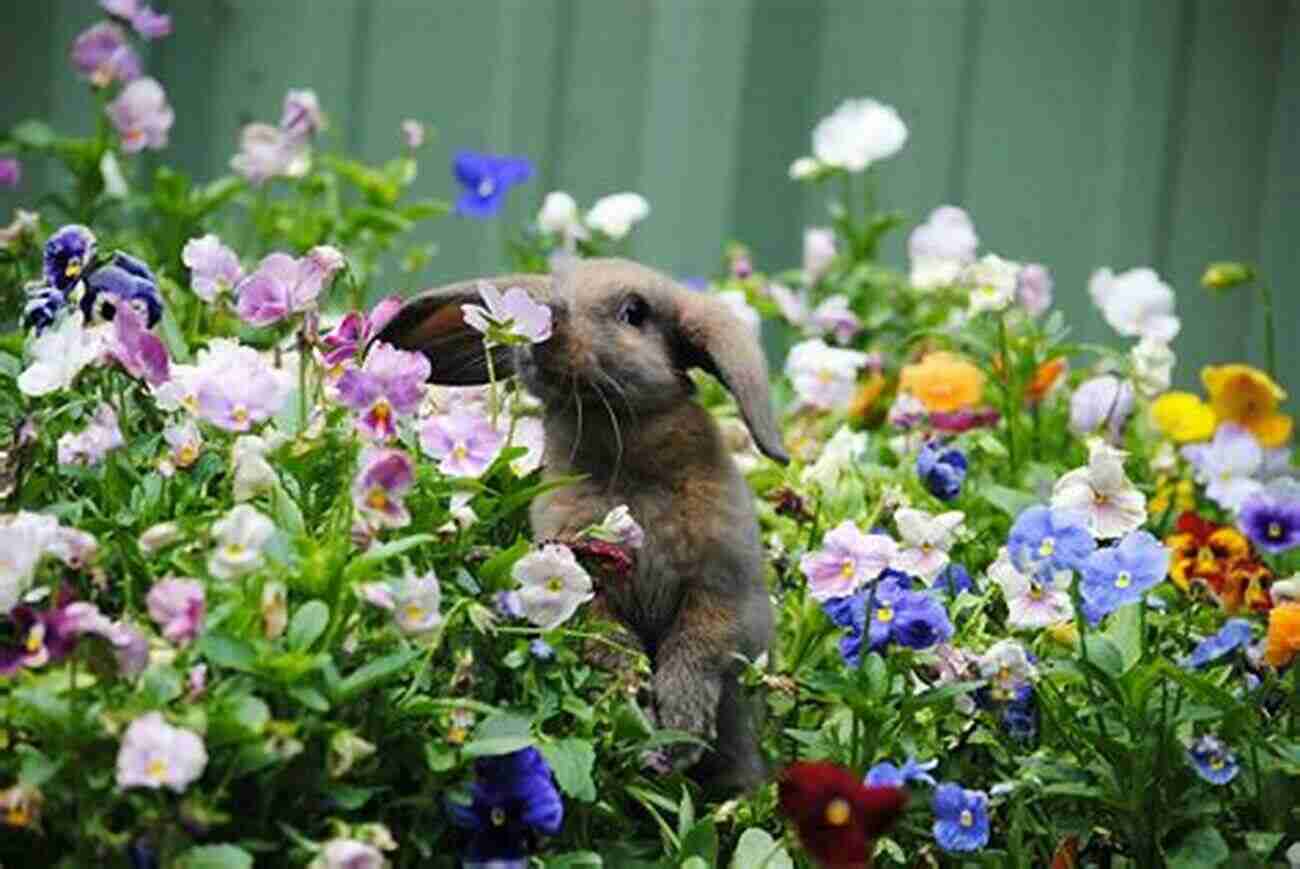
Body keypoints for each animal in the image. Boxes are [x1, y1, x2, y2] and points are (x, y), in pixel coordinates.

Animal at [371, 257, 785, 796]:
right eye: (553, 289)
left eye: (635, 312)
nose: (546, 321)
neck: (626, 458)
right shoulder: (586, 585)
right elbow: (611, 644)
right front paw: (638, 706)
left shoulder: (720, 583)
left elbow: (698, 647)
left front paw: (681, 728)